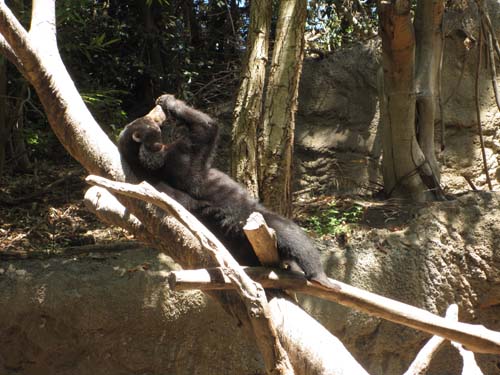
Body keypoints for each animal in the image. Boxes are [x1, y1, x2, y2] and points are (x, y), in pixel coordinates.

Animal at [117, 95, 338, 290]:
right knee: (291, 234)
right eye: (148, 123)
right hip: (257, 225)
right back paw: (319, 275)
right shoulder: (180, 155)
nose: (152, 117)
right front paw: (170, 101)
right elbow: (206, 128)